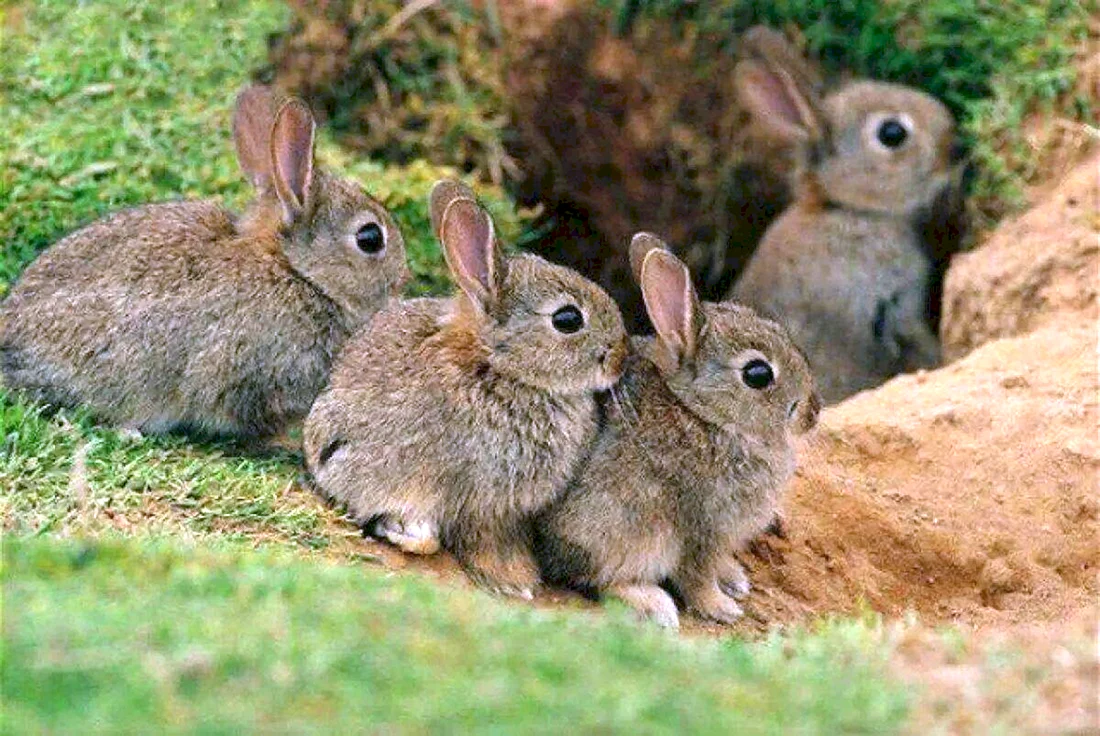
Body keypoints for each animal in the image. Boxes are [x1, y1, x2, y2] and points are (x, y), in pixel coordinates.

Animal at [303, 180, 628, 598]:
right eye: (568, 319)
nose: (621, 357)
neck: (503, 367)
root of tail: (320, 458)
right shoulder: (489, 498)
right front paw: (514, 583)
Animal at [535, 233, 819, 629]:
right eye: (758, 374)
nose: (813, 413)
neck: (706, 415)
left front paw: (733, 579)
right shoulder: (702, 529)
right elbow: (697, 575)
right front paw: (722, 608)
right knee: (595, 578)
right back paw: (654, 605)